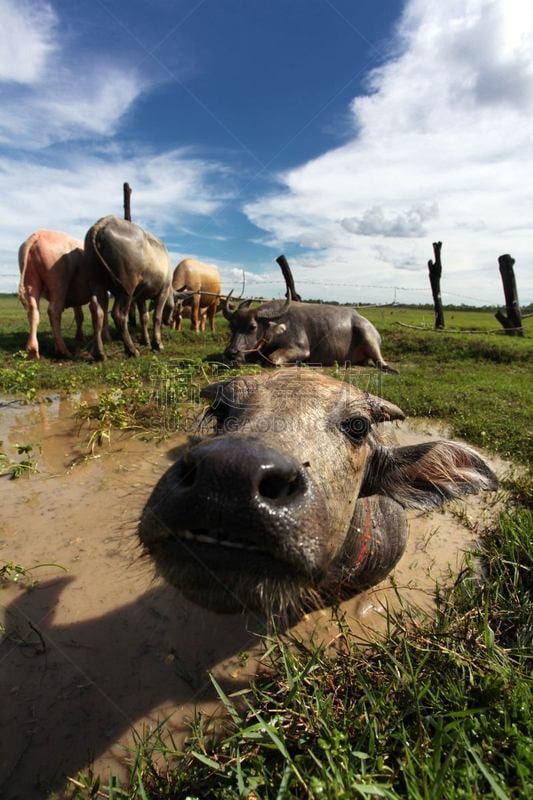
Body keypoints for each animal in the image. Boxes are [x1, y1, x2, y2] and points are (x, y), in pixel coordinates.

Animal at [84, 216, 170, 360]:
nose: (168, 322)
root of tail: (105, 221)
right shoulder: (164, 290)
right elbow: (156, 316)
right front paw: (157, 343)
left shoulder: (141, 296)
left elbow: (144, 317)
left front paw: (145, 340)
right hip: (127, 285)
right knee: (119, 315)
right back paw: (131, 350)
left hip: (96, 281)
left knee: (97, 311)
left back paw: (99, 353)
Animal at [222, 294, 396, 372]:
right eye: (231, 326)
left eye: (252, 326)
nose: (231, 353)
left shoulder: (301, 349)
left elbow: (272, 359)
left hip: (368, 336)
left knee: (380, 360)